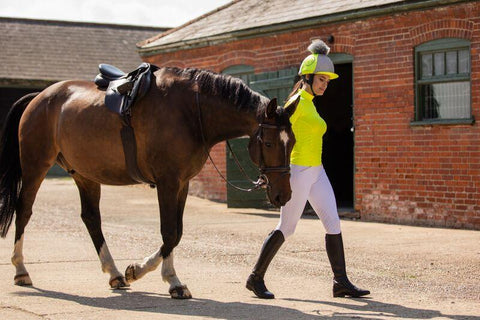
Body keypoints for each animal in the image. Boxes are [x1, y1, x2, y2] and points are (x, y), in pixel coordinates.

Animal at [0, 66, 298, 298]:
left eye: (293, 142)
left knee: (91, 219)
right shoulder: (167, 181)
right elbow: (169, 232)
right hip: (35, 166)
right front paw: (167, 280)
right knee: (24, 210)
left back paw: (114, 274)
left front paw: (143, 273)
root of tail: (39, 97)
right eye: (269, 143)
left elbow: (177, 232)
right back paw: (21, 270)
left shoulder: (182, 183)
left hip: (85, 174)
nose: (283, 196)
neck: (191, 112)